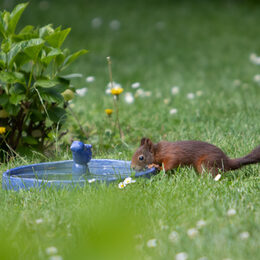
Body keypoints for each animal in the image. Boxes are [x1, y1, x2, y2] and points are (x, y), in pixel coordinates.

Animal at [131, 137, 260, 176]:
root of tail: (226, 162)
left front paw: (159, 168)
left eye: (141, 157)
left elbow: (170, 163)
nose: (132, 167)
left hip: (206, 163)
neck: (158, 151)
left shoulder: (171, 155)